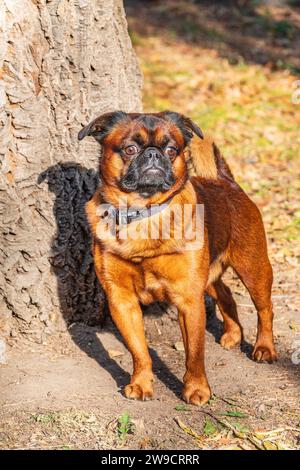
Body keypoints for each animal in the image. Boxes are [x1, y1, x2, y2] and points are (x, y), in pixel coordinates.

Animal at [78, 112, 276, 406]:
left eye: (172, 150)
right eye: (130, 149)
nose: (153, 154)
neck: (143, 213)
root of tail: (227, 182)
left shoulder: (189, 300)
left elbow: (194, 353)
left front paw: (196, 389)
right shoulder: (122, 301)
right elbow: (139, 350)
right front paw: (141, 383)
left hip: (253, 268)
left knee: (265, 308)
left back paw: (264, 348)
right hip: (208, 276)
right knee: (225, 293)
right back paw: (232, 334)